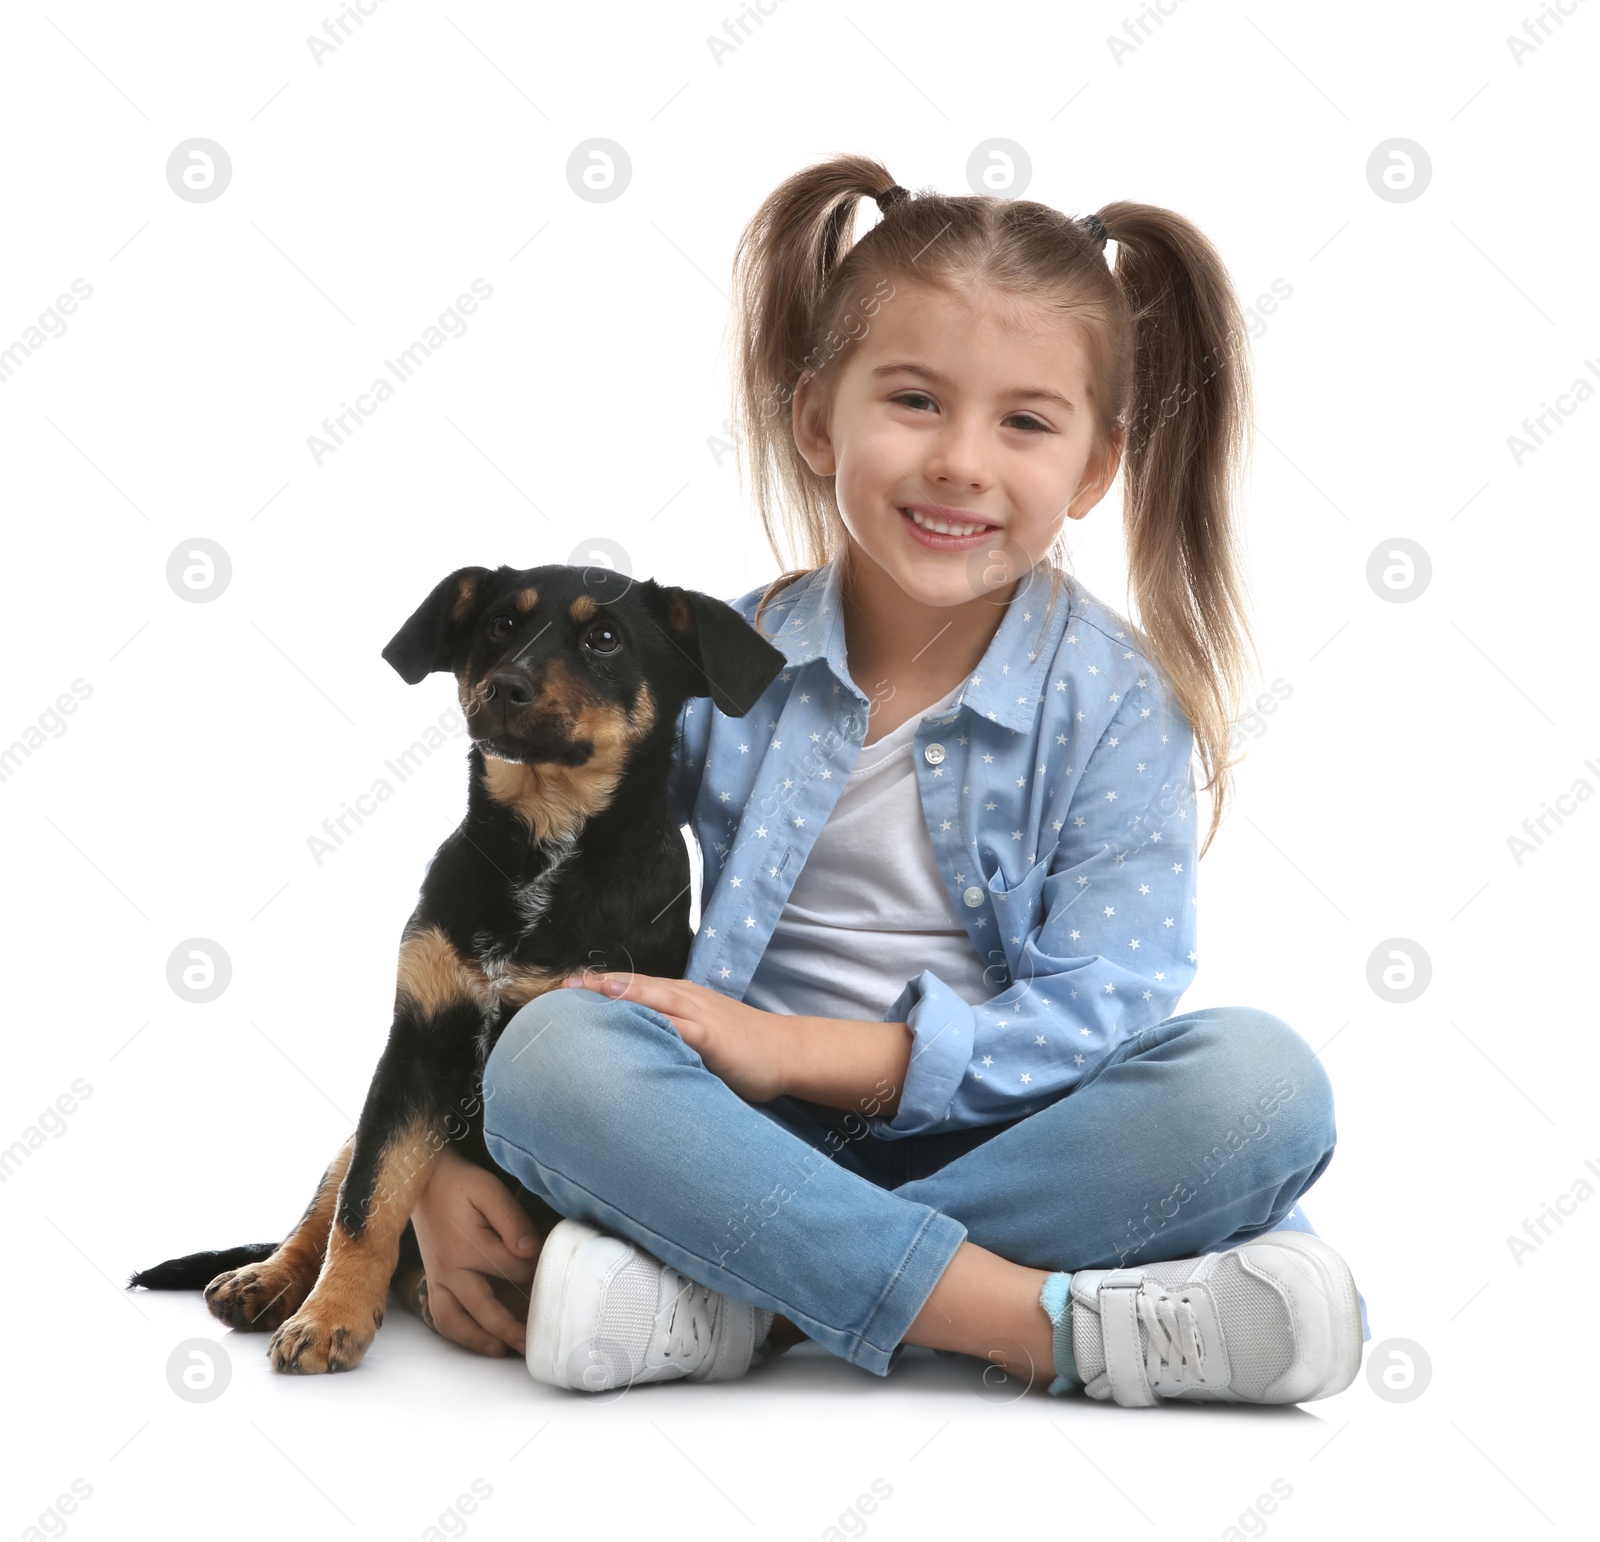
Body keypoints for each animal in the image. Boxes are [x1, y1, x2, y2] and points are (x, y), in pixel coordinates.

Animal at [128, 563, 784, 1375]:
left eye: (605, 638)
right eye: (500, 624)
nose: (505, 687)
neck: (541, 846)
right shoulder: (412, 1047)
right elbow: (366, 1201)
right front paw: (331, 1319)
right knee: (322, 1206)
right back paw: (270, 1280)